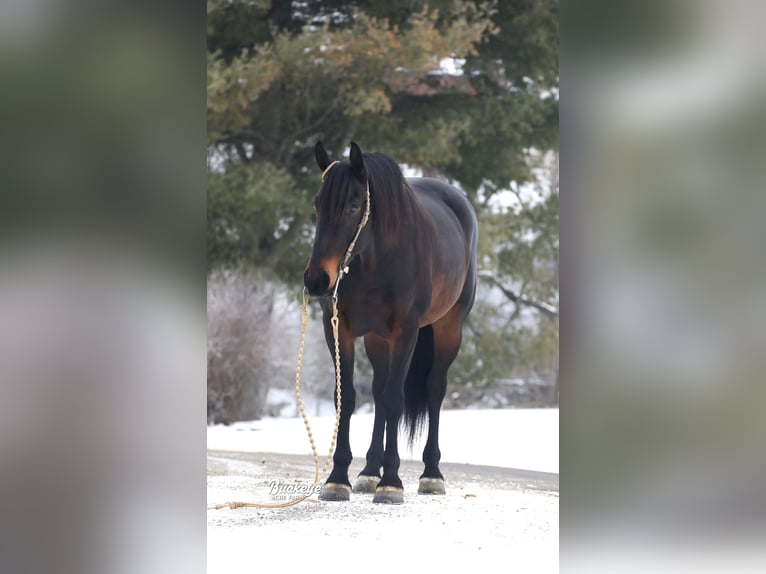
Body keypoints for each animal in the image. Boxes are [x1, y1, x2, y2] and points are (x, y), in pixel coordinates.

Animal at [304, 142, 474, 506]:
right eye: (317, 203)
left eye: (354, 205)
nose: (316, 280)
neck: (373, 261)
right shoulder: (338, 329)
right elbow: (347, 398)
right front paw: (338, 479)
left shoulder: (405, 332)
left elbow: (396, 398)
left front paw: (392, 483)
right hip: (376, 340)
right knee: (379, 391)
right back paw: (369, 472)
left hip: (448, 329)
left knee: (434, 389)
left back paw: (431, 475)